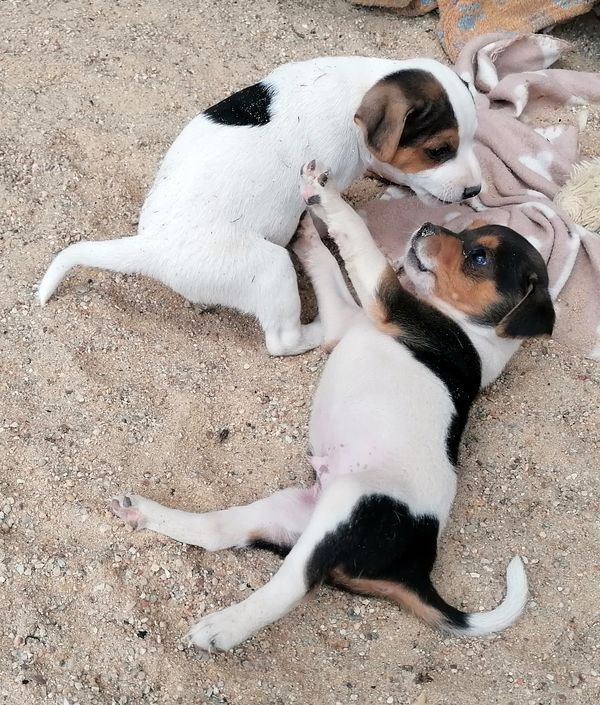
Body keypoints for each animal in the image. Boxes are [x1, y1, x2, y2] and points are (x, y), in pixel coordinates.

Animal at [38, 56, 481, 356]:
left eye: (474, 139)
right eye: (438, 150)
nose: (476, 190)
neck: (358, 89)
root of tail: (150, 247)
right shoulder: (324, 187)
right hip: (271, 267)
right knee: (283, 340)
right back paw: (321, 327)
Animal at [111, 160, 554, 651]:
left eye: (479, 259)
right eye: (466, 232)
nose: (426, 227)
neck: (474, 330)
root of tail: (414, 571)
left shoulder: (384, 300)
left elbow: (356, 236)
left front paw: (323, 196)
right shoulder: (346, 319)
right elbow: (327, 263)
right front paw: (307, 230)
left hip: (346, 506)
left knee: (293, 583)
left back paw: (224, 627)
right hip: (291, 510)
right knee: (218, 533)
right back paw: (145, 513)